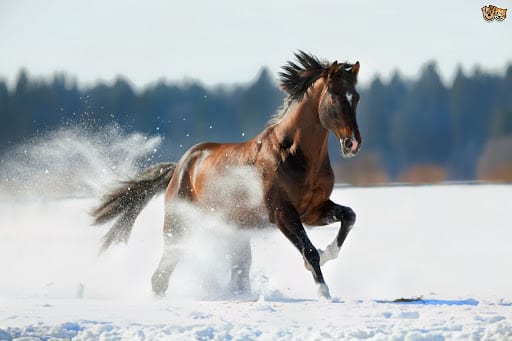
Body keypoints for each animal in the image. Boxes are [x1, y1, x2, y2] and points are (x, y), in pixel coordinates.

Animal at [93, 50, 364, 298]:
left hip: (235, 232)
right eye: (334, 96)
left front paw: (327, 254)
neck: (293, 154)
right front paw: (323, 291)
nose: (352, 143)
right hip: (179, 227)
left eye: (357, 97)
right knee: (161, 275)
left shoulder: (313, 210)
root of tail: (179, 167)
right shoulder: (281, 213)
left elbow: (349, 216)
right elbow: (308, 250)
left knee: (236, 273)